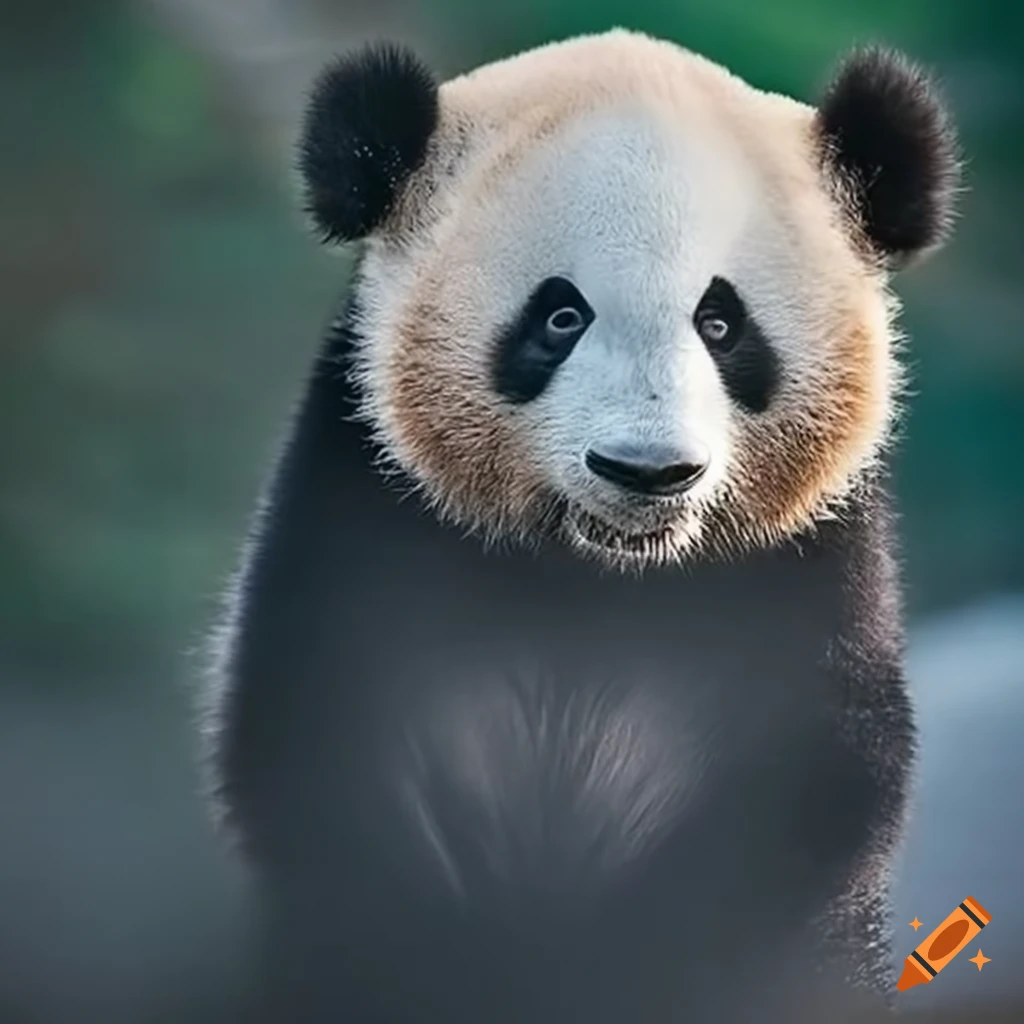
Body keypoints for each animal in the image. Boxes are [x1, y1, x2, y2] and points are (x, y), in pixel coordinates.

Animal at [202, 29, 960, 1023]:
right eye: (561, 316)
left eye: (721, 323)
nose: (647, 471)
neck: (592, 576)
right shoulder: (366, 514)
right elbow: (321, 760)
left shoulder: (805, 571)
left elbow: (813, 788)